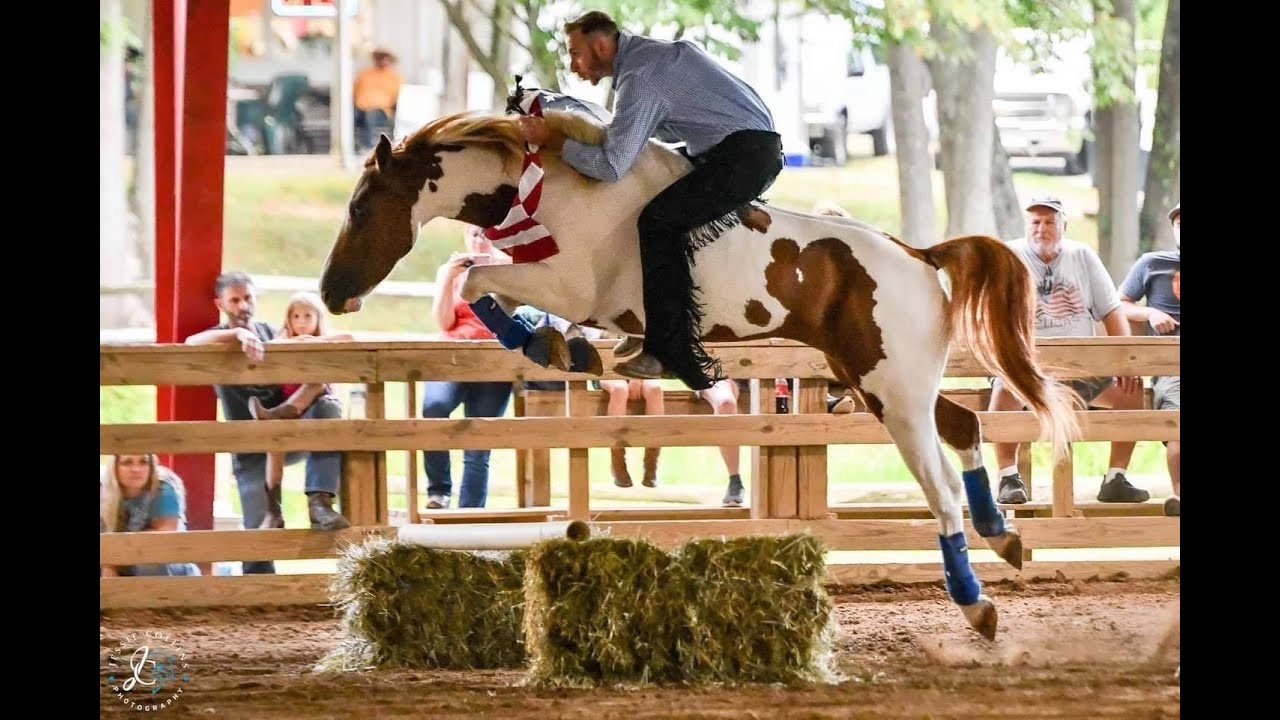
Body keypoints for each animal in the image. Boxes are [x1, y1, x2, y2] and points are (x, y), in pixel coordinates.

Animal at [318, 106, 1082, 640]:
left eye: (360, 206)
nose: (331, 293)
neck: (549, 188)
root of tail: (921, 257)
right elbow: (483, 280)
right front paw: (564, 349)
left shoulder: (569, 285)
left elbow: (474, 274)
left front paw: (552, 346)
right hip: (886, 386)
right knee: (965, 424)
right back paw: (1005, 535)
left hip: (891, 396)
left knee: (943, 488)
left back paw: (977, 606)